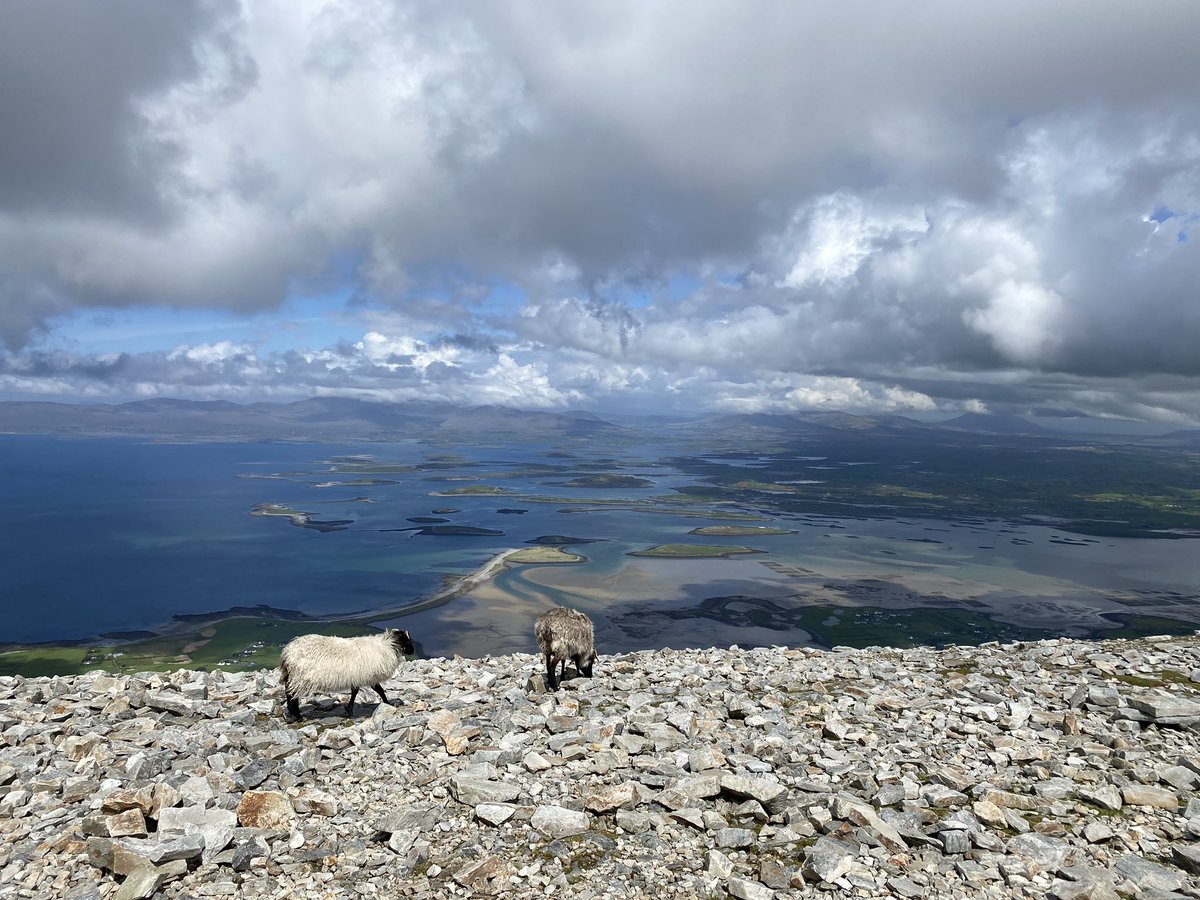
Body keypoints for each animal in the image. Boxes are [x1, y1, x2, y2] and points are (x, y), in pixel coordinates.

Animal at [278, 628, 415, 724]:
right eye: (406, 640)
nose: (413, 651)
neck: (388, 646)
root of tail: (288, 652)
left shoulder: (359, 676)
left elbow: (356, 691)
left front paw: (349, 710)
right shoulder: (369, 675)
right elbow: (379, 690)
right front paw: (388, 703)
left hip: (293, 677)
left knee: (289, 694)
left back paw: (293, 715)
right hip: (299, 678)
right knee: (292, 697)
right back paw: (298, 716)